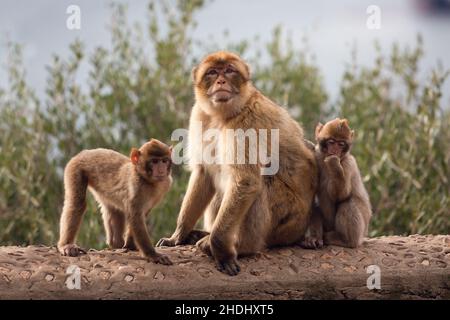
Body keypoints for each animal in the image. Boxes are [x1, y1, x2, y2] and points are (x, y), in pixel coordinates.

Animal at [302, 119, 372, 249]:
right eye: (331, 142)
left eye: (341, 144)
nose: (335, 151)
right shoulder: (315, 155)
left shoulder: (348, 164)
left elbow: (342, 195)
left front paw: (334, 164)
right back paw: (314, 238)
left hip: (362, 229)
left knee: (348, 203)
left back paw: (345, 240)